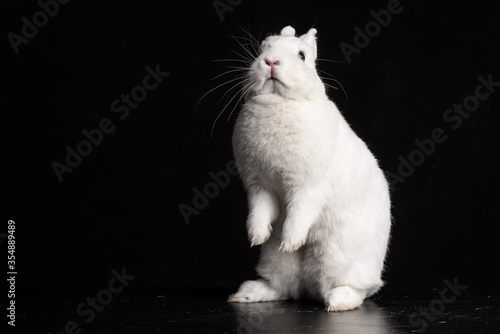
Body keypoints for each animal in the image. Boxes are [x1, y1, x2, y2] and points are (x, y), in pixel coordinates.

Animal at [229, 25, 392, 310]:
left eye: (302, 56)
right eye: (262, 48)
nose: (271, 62)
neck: (279, 102)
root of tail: (309, 288)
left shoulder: (307, 187)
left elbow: (299, 214)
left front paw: (290, 242)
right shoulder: (259, 187)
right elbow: (260, 212)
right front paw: (257, 237)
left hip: (338, 257)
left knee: (354, 288)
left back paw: (337, 302)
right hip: (274, 262)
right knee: (284, 287)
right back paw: (248, 293)